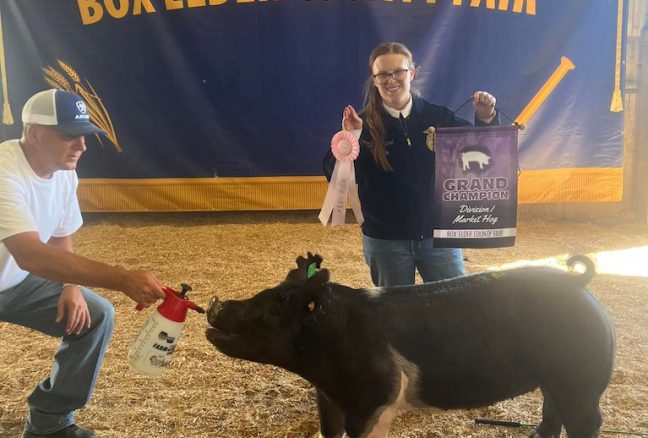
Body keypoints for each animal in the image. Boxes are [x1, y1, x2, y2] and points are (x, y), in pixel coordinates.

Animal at [205, 253, 616, 438]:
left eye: (274, 309)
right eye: (266, 293)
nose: (215, 303)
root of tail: (578, 285)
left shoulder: (373, 400)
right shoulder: (328, 399)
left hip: (583, 380)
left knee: (586, 420)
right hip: (557, 379)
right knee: (552, 411)